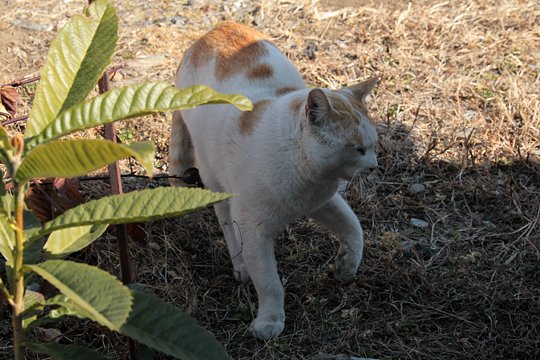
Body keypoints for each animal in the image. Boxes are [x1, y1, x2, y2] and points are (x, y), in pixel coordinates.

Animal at [171, 21, 378, 338]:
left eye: (375, 145)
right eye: (358, 149)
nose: (374, 167)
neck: (306, 176)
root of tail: (214, 30)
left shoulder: (323, 201)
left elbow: (354, 229)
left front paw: (346, 267)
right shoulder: (253, 229)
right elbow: (269, 282)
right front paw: (269, 322)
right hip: (213, 177)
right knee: (227, 224)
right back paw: (241, 266)